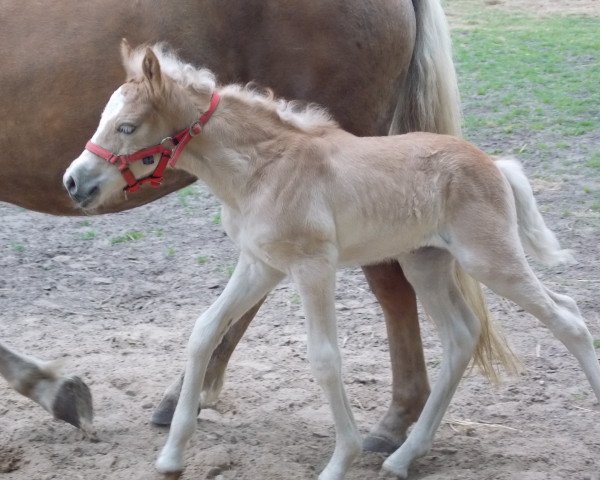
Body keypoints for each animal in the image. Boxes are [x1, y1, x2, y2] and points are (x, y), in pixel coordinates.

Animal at [64, 43, 600, 478]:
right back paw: (403, 458)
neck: (263, 168)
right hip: (425, 264)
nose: (74, 182)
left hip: (489, 259)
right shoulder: (260, 264)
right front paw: (172, 455)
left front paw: (340, 461)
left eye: (127, 126)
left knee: (569, 316)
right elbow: (204, 330)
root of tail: (494, 163)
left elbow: (324, 358)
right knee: (462, 337)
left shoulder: (312, 267)